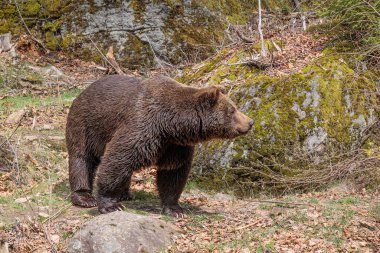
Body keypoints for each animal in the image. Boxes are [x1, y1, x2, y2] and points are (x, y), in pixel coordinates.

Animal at [67, 75, 254, 215]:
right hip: (85, 124)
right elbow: (117, 159)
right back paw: (85, 197)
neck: (169, 125)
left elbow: (173, 173)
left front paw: (175, 209)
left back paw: (125, 193)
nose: (250, 122)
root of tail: (82, 92)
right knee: (81, 159)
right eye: (232, 110)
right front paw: (110, 205)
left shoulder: (174, 146)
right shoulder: (142, 127)